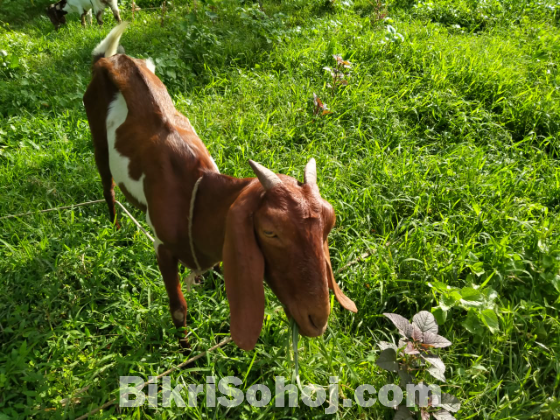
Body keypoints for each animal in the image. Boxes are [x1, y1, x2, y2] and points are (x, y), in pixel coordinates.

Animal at [81, 23, 356, 352]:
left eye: (329, 223)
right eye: (270, 231)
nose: (318, 320)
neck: (196, 197)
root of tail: (109, 60)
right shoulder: (162, 246)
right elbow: (178, 309)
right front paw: (186, 352)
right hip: (95, 129)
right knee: (106, 181)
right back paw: (115, 226)